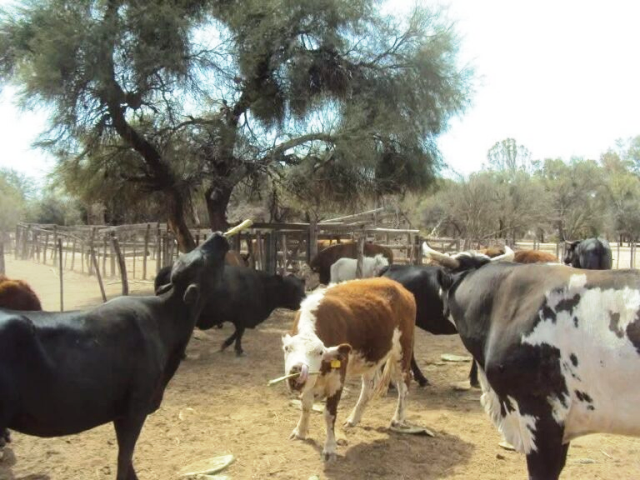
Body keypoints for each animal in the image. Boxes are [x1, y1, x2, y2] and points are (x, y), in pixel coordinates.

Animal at [0, 232, 230, 479]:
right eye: (200, 261)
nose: (217, 236)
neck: (164, 319)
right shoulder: (137, 405)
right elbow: (124, 457)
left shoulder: (120, 412)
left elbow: (126, 460)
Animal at [155, 265, 306, 356]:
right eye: (293, 288)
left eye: (302, 287)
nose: (305, 300)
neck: (261, 286)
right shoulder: (242, 318)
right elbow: (239, 333)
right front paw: (238, 349)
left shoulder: (240, 319)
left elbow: (237, 333)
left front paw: (226, 345)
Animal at [282, 277, 416, 461]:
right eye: (287, 348)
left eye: (320, 352)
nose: (297, 369)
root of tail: (399, 287)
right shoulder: (311, 382)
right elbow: (306, 405)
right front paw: (300, 431)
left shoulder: (337, 379)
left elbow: (329, 414)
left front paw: (330, 447)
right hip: (371, 360)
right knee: (368, 387)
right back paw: (354, 419)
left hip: (403, 349)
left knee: (404, 383)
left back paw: (398, 419)